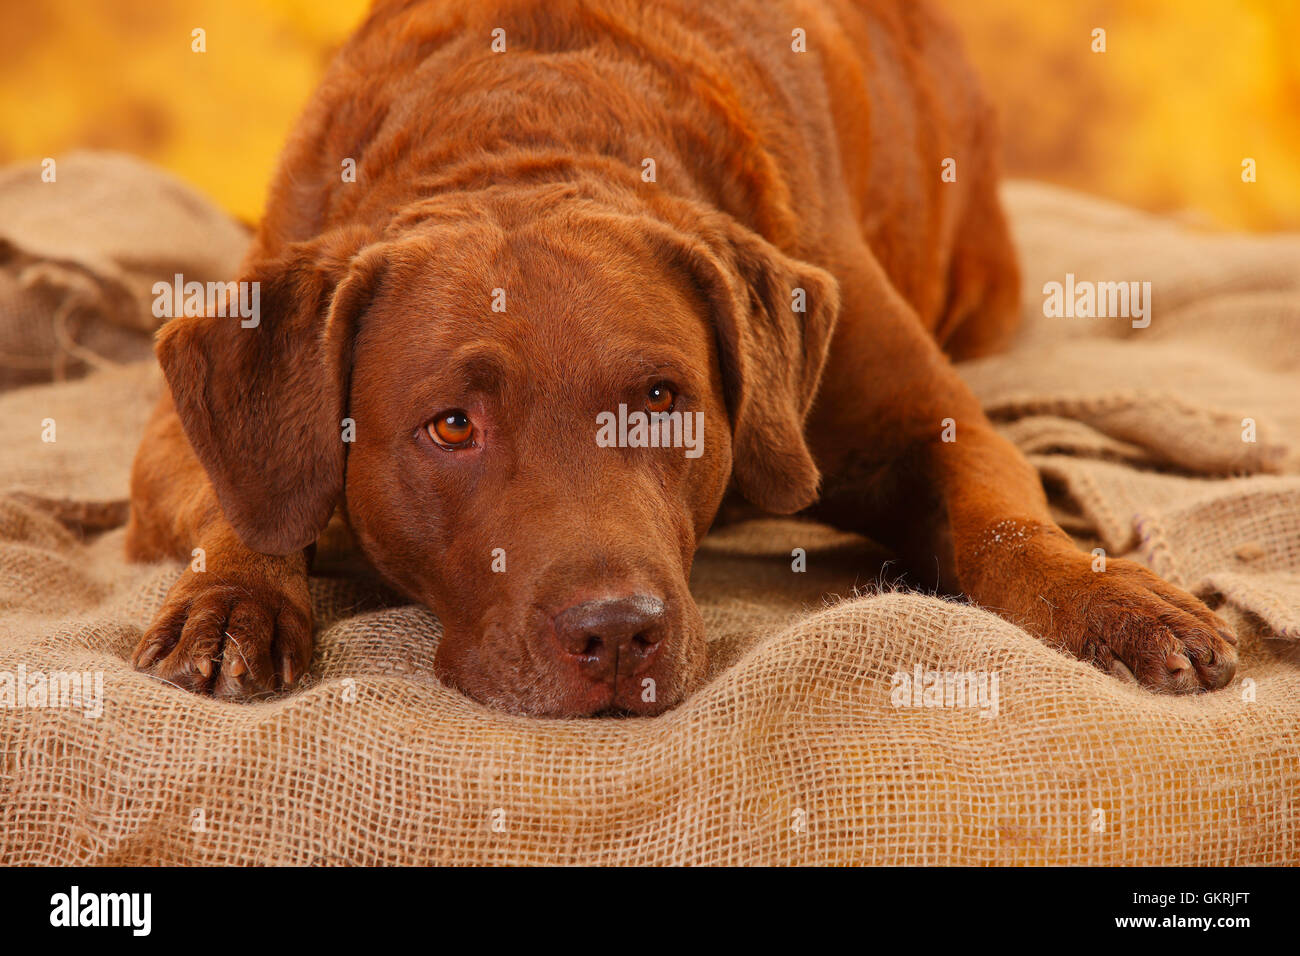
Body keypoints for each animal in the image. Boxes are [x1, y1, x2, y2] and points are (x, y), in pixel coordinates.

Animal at [124, 0, 1237, 717]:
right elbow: (238, 498)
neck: (520, 129)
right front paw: (233, 605)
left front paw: (1114, 599)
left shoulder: (925, 421)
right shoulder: (184, 415)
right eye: (451, 426)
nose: (618, 633)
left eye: (663, 399)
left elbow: (1003, 521)